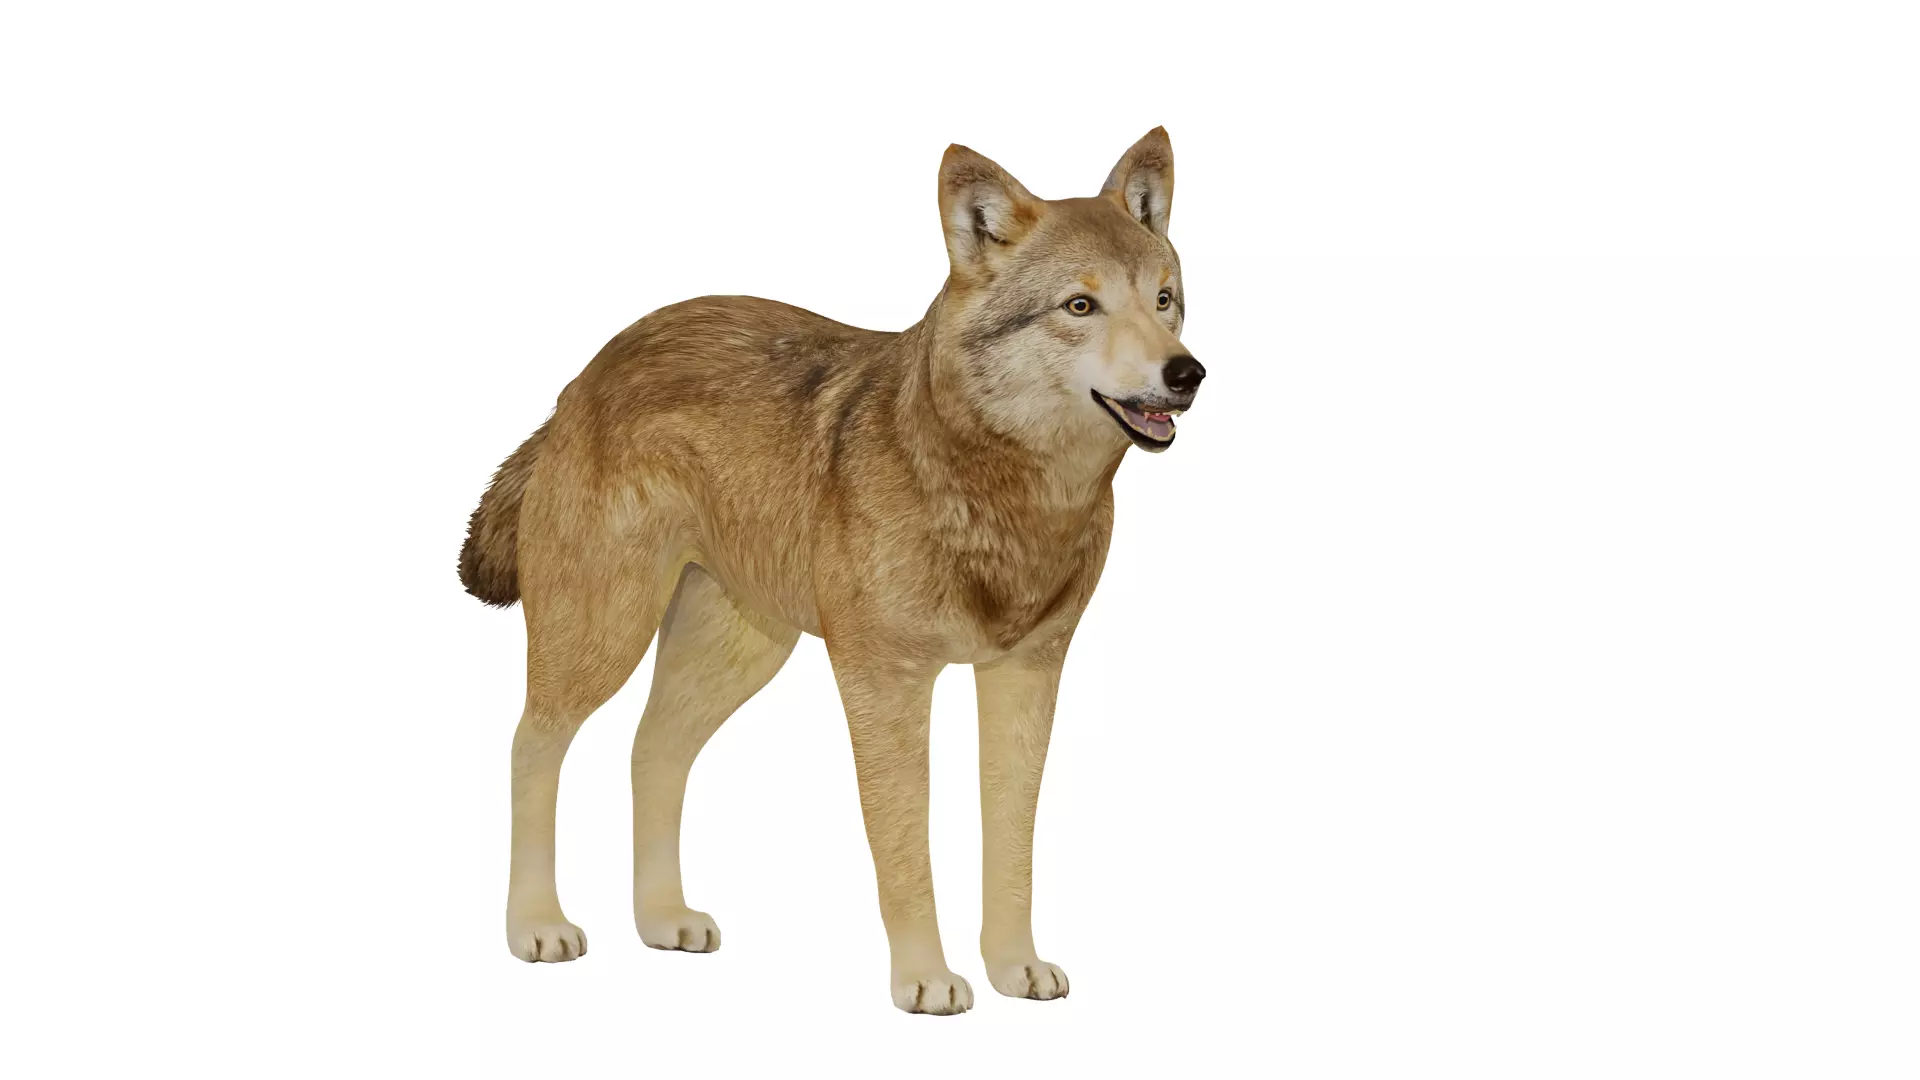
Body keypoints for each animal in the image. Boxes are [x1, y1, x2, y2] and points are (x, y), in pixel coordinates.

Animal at [459, 128, 1205, 1014]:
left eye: (1165, 300)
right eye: (1080, 307)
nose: (1187, 373)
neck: (999, 493)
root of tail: (583, 377)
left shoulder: (1027, 675)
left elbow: (1011, 844)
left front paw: (1014, 968)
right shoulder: (885, 680)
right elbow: (906, 845)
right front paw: (926, 979)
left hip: (741, 653)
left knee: (650, 752)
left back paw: (663, 918)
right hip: (605, 636)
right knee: (530, 745)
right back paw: (536, 926)